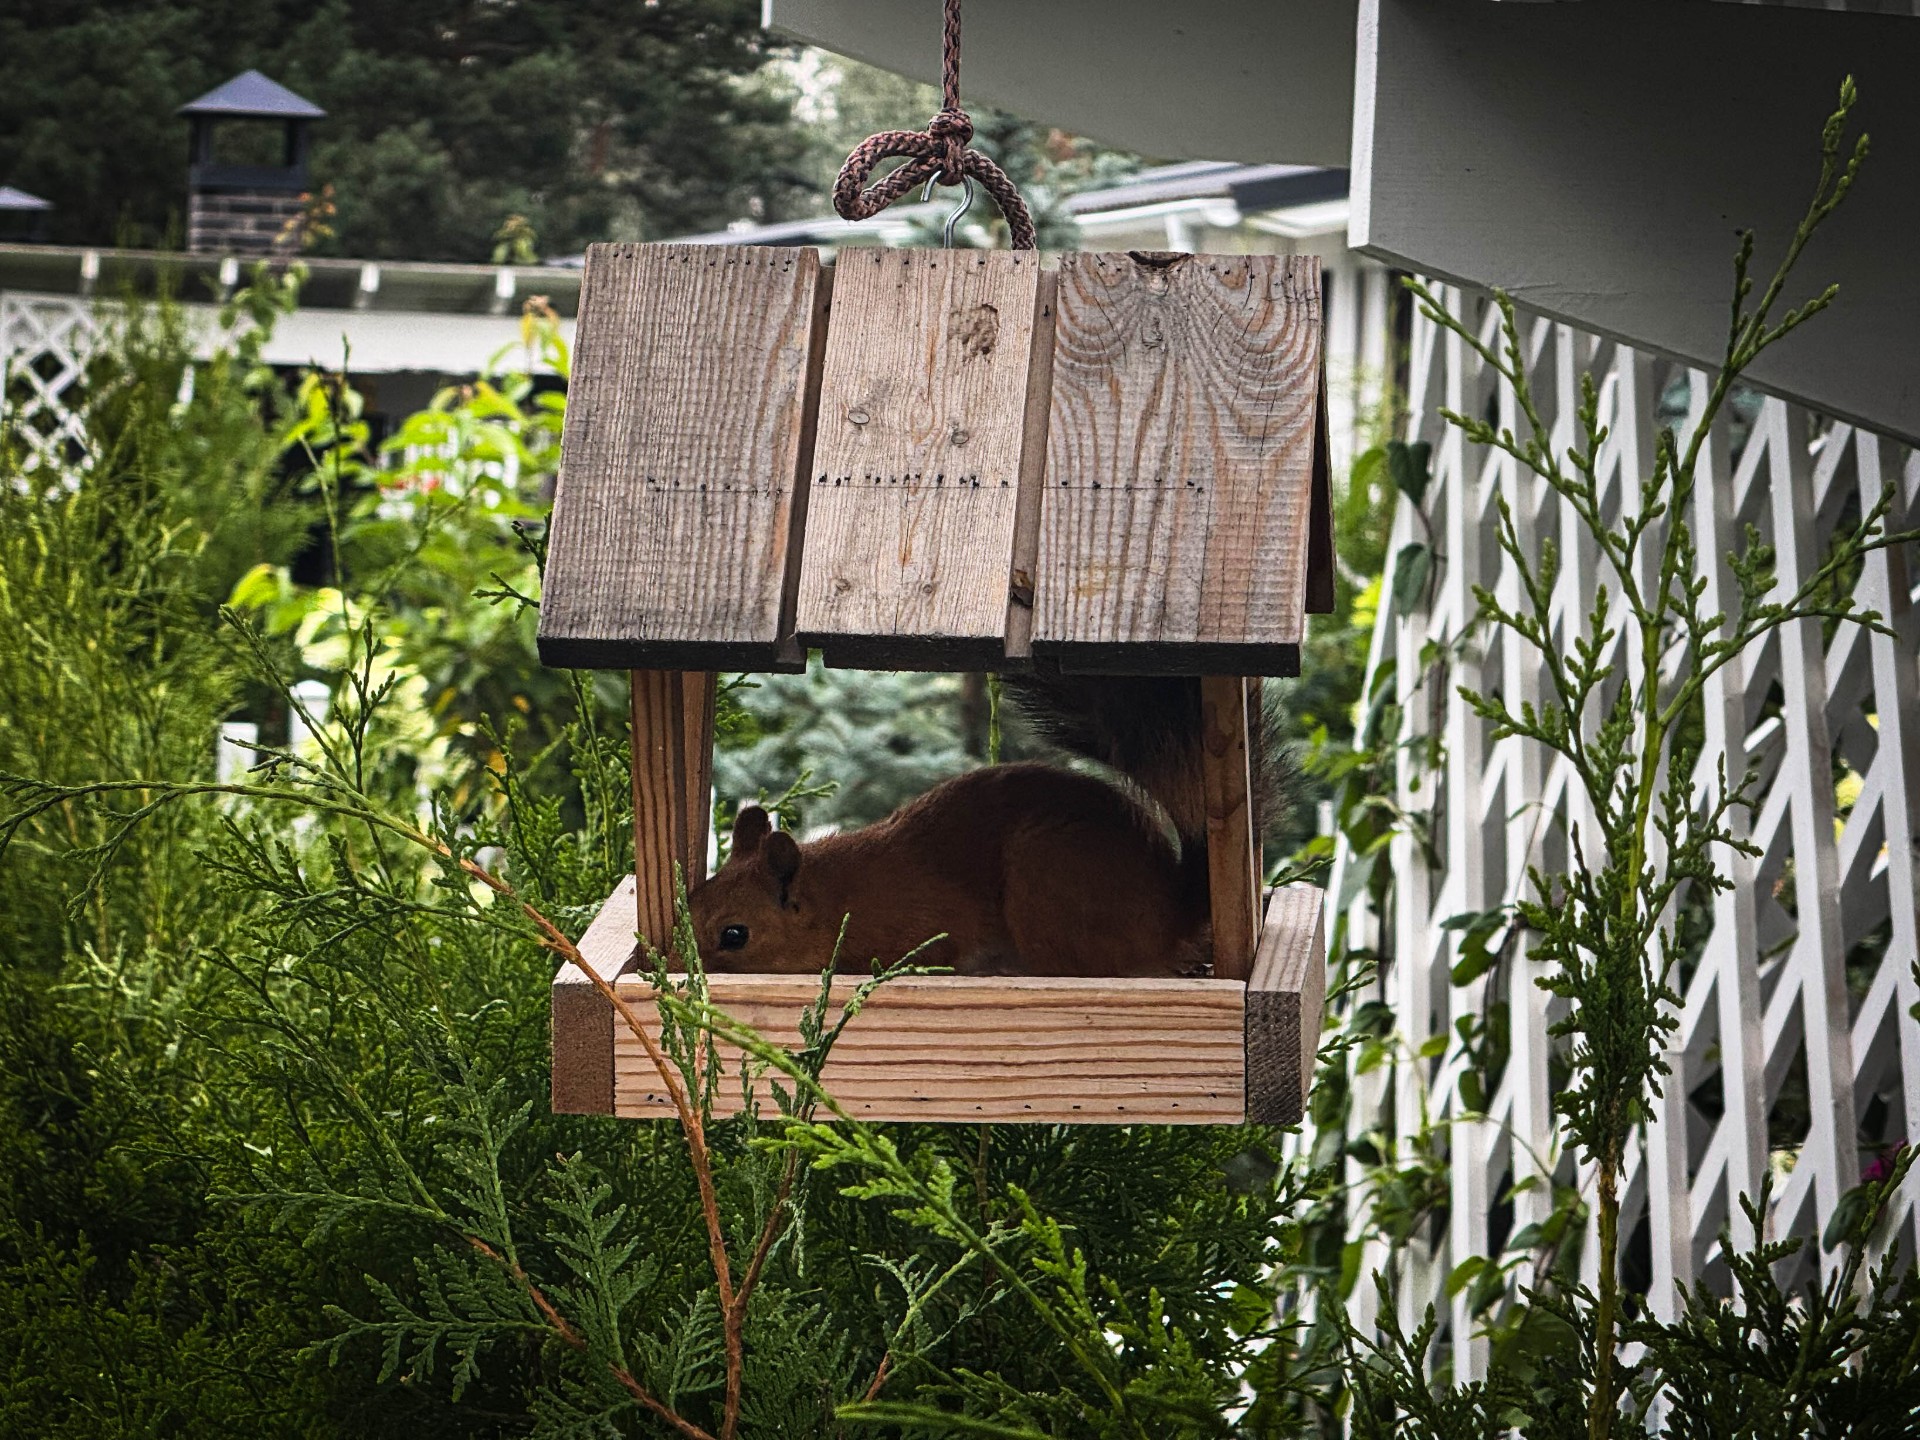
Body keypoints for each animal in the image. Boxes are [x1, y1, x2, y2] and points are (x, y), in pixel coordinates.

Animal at [687, 675, 1288, 979]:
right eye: (687, 903)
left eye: (734, 935)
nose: (676, 967)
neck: (836, 902)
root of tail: (1172, 912)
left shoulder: (927, 924)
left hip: (1050, 885)